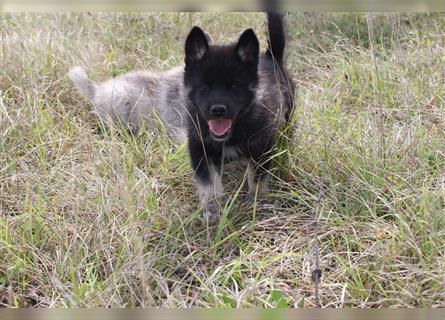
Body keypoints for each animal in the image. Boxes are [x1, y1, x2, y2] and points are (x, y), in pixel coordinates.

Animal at [184, 11, 294, 218]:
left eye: (234, 86)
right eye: (204, 86)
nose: (218, 110)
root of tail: (271, 57)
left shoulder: (261, 147)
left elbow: (257, 177)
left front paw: (256, 202)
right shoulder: (200, 148)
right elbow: (209, 183)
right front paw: (212, 209)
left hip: (287, 117)